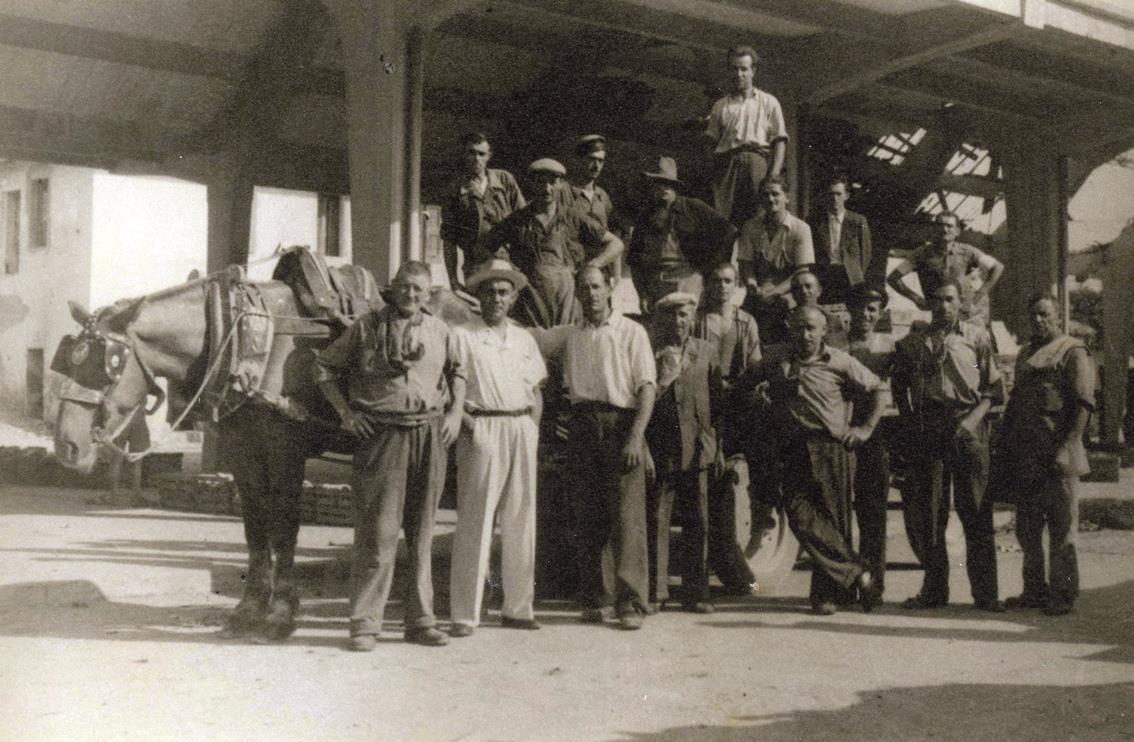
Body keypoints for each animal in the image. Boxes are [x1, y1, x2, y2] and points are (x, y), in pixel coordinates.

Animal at [53, 270, 476, 644]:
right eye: (68, 361)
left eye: (109, 365)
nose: (66, 446)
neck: (243, 339)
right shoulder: (242, 451)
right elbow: (255, 527)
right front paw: (248, 610)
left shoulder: (285, 451)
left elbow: (283, 528)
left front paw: (280, 615)